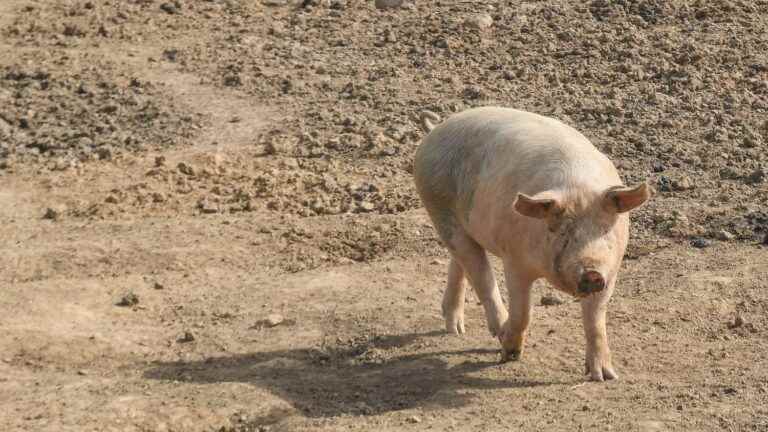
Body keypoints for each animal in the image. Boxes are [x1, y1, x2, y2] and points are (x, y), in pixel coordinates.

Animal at [414, 107, 656, 382]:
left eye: (605, 230)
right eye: (562, 231)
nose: (592, 273)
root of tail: (436, 129)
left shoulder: (611, 271)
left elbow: (595, 319)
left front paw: (604, 376)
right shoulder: (514, 259)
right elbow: (523, 312)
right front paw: (510, 354)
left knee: (461, 262)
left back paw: (457, 330)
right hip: (438, 206)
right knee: (481, 275)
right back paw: (495, 333)